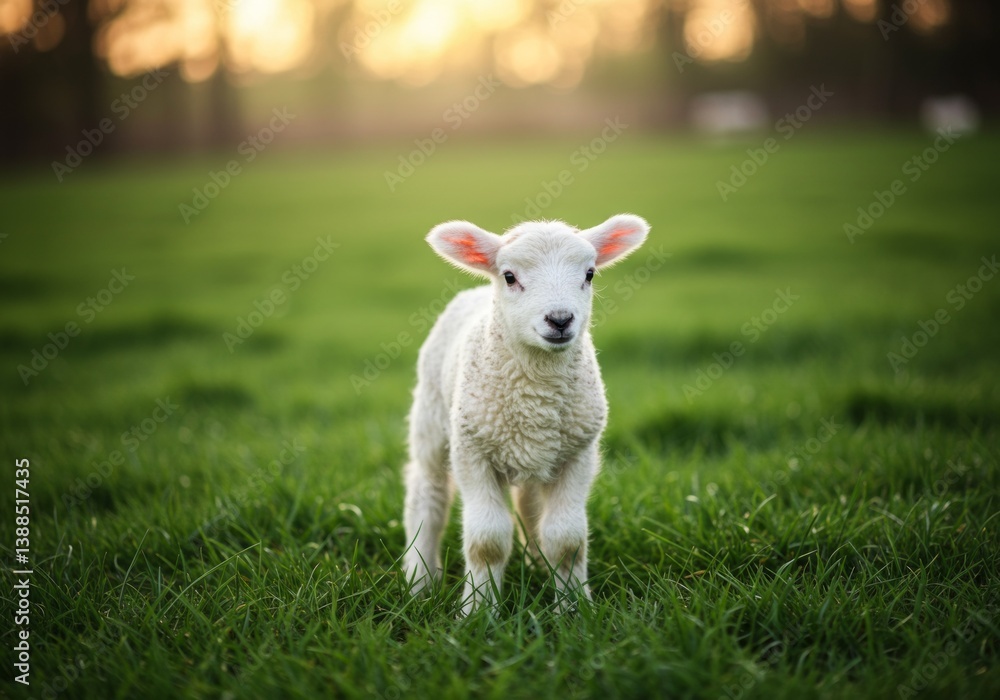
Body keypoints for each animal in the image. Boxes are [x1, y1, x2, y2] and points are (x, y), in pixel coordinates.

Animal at [402, 214, 650, 614]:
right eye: (509, 276)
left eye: (590, 273)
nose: (560, 319)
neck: (537, 395)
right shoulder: (472, 451)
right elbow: (486, 542)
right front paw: (478, 611)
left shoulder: (578, 452)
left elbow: (566, 539)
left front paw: (573, 608)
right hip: (432, 419)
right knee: (428, 493)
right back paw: (419, 579)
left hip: (537, 454)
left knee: (530, 505)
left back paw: (535, 564)